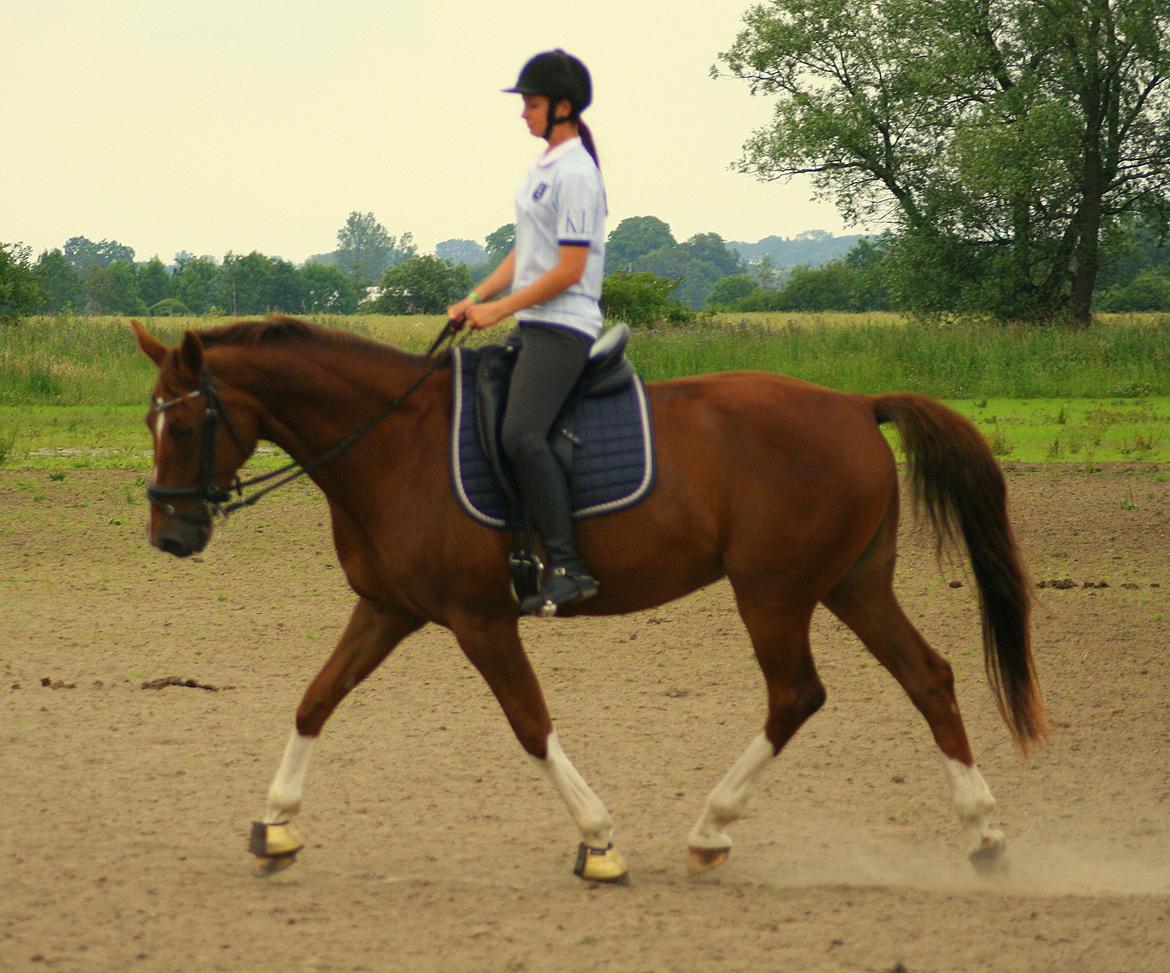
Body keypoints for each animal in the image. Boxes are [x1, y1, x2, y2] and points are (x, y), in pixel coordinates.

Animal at [132, 318, 1048, 879]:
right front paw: (276, 825)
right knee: (928, 676)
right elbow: (316, 699)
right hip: (852, 582)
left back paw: (710, 829)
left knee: (796, 693)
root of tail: (856, 405)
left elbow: (530, 723)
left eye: (186, 425)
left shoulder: (480, 619)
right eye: (150, 422)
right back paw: (986, 834)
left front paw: (599, 840)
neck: (393, 441)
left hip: (775, 589)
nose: (169, 535)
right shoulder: (388, 609)